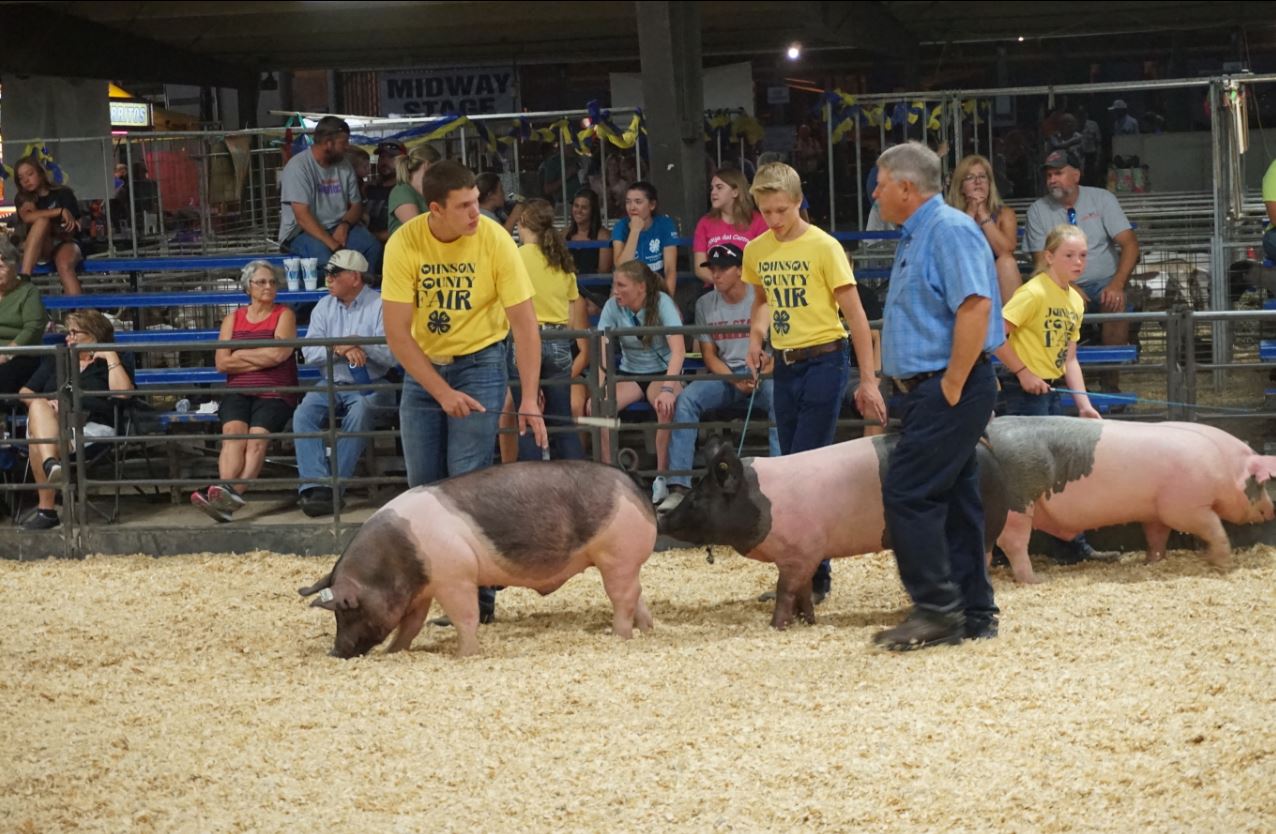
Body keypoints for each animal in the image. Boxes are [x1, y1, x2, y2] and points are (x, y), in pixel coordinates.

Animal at [299, 461, 658, 658]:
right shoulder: (422, 590)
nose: (335, 652)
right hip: (625, 563)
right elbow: (410, 625)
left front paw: (464, 656)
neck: (398, 558)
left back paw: (619, 635)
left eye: (347, 609)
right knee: (637, 596)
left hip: (616, 556)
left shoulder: (455, 576)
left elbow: (466, 617)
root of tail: (634, 490)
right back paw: (646, 630)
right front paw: (394, 651)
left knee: (623, 598)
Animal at [658, 433, 1005, 629]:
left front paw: (775, 626)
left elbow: (785, 590)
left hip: (982, 528)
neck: (760, 501)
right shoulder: (803, 555)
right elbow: (801, 591)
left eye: (698, 497)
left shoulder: (801, 551)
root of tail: (985, 447)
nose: (662, 517)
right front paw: (807, 622)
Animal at [990, 415, 1276, 584]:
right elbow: (1214, 528)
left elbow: (1156, 536)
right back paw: (1035, 580)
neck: (1224, 468)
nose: (1272, 510)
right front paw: (1223, 564)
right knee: (1013, 542)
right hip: (1017, 504)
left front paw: (1152, 562)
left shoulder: (1156, 511)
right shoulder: (1185, 508)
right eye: (1260, 483)